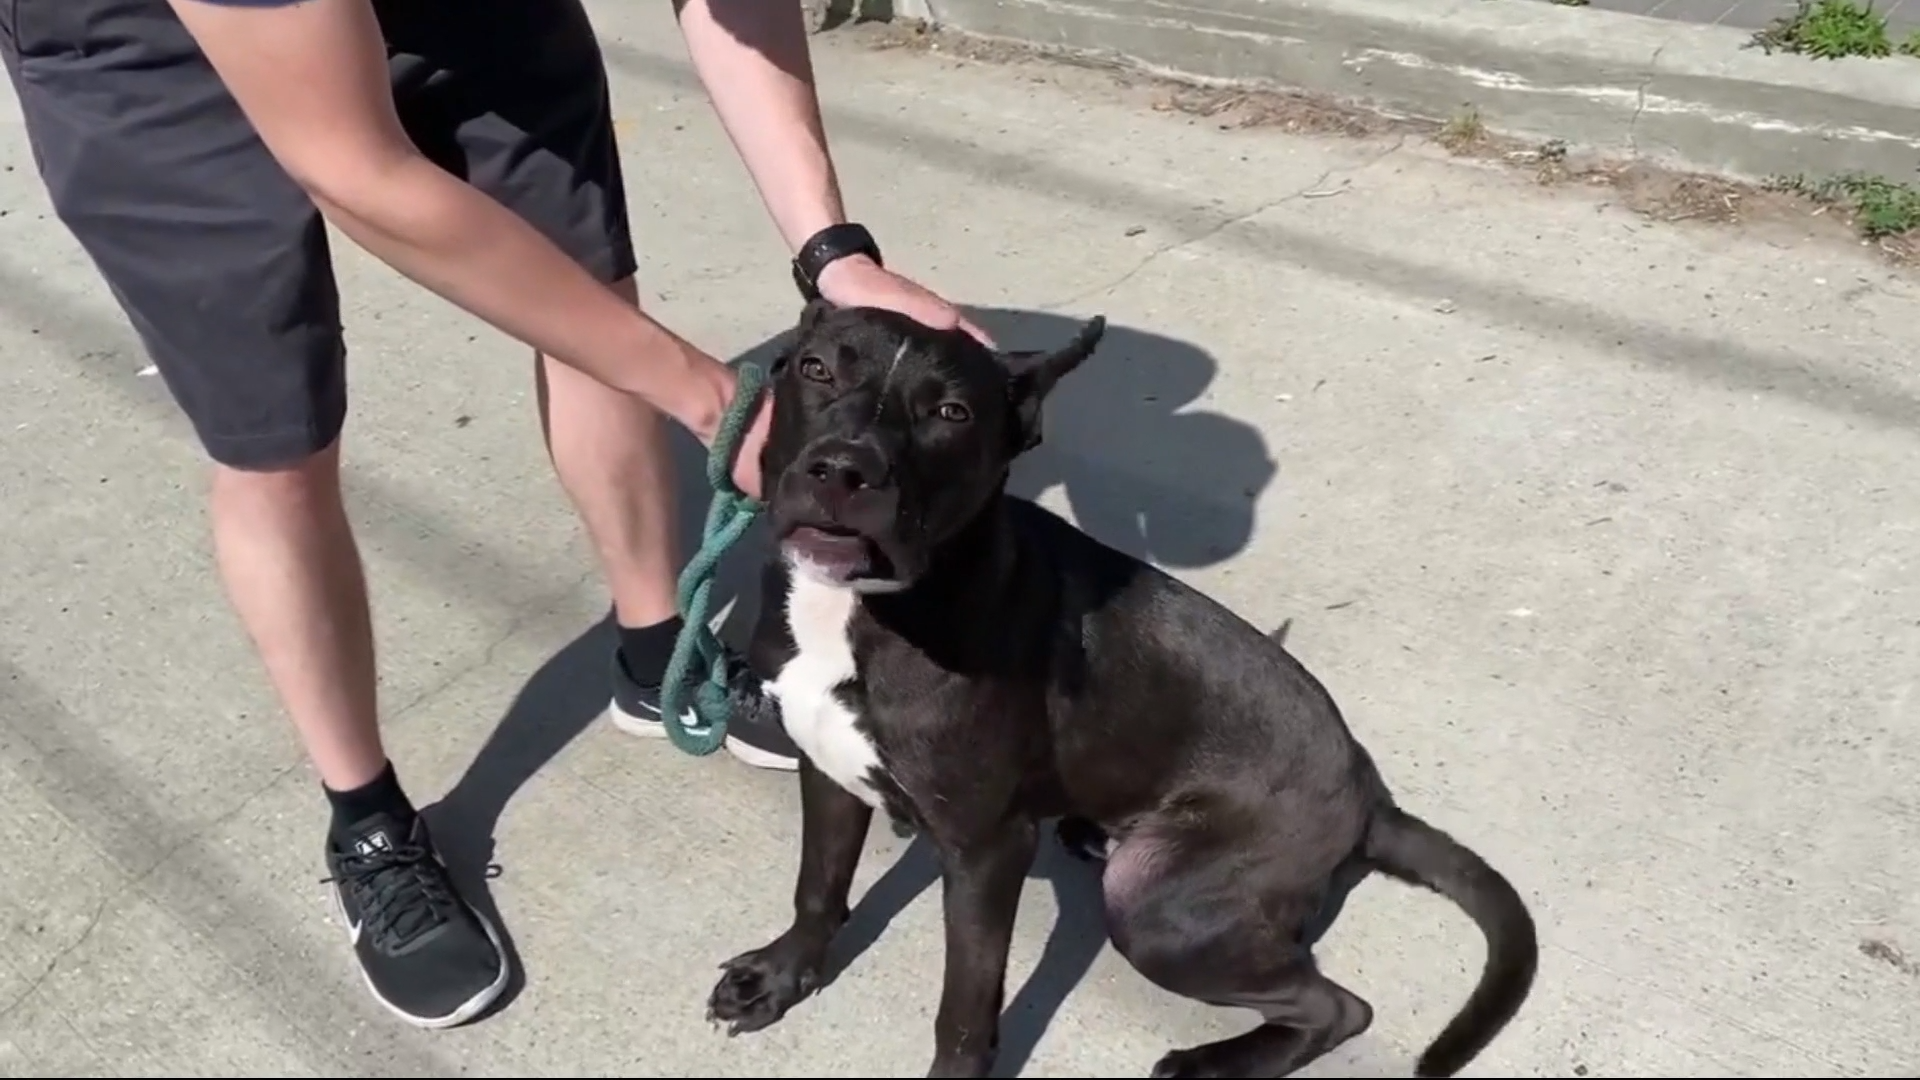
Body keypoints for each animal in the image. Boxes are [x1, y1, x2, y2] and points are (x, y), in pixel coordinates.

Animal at [705, 302, 1538, 1078]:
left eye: (952, 413)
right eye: (814, 369)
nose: (844, 470)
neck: (864, 607)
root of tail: (1367, 793)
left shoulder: (985, 850)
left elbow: (965, 1008)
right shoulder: (827, 770)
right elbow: (818, 884)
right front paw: (781, 976)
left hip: (1156, 909)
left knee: (1340, 1008)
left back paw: (1214, 1062)